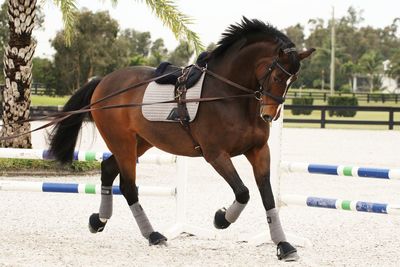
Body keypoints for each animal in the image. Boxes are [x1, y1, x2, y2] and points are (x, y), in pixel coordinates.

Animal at [48, 18, 314, 262]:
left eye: (293, 80)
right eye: (277, 75)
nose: (269, 115)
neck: (229, 95)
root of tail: (103, 81)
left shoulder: (258, 150)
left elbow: (267, 197)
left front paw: (284, 245)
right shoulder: (215, 154)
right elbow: (243, 192)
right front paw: (221, 219)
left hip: (140, 143)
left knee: (108, 168)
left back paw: (99, 221)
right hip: (122, 142)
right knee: (128, 186)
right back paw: (153, 235)